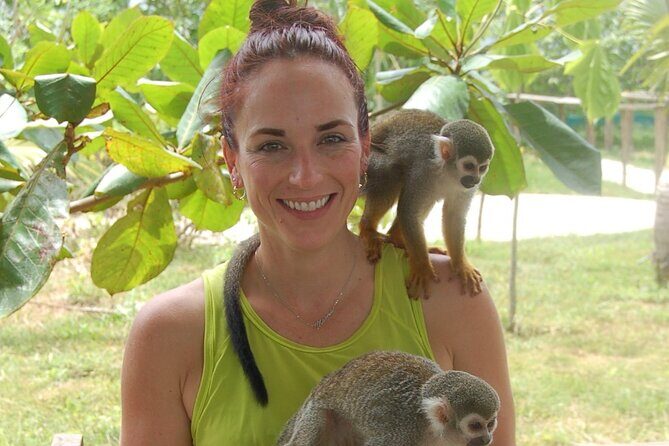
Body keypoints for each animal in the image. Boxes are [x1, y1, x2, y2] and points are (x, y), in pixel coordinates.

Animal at [276, 350, 500, 446]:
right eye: (475, 426)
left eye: (491, 424)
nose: (487, 439)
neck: (431, 430)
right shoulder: (402, 433)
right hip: (312, 412)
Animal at [359, 108, 494, 299]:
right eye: (469, 166)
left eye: (482, 168)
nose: (475, 180)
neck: (448, 173)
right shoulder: (423, 171)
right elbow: (408, 211)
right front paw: (423, 267)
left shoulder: (466, 187)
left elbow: (454, 216)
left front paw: (460, 264)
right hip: (365, 166)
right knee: (391, 172)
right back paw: (368, 228)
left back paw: (397, 239)